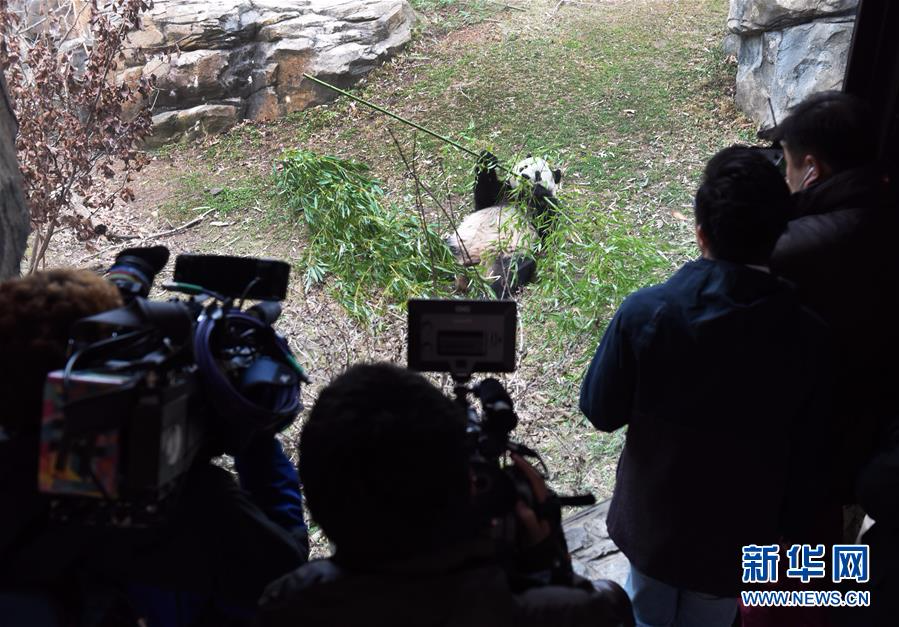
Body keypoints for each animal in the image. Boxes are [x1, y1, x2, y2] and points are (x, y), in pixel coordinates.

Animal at [444, 152, 564, 300]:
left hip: (507, 255)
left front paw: (538, 191)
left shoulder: (547, 206)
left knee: (510, 274)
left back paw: (489, 293)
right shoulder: (504, 192)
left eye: (538, 175)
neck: (521, 194)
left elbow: (547, 230)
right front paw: (487, 159)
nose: (524, 176)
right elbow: (484, 197)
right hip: (458, 244)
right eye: (524, 167)